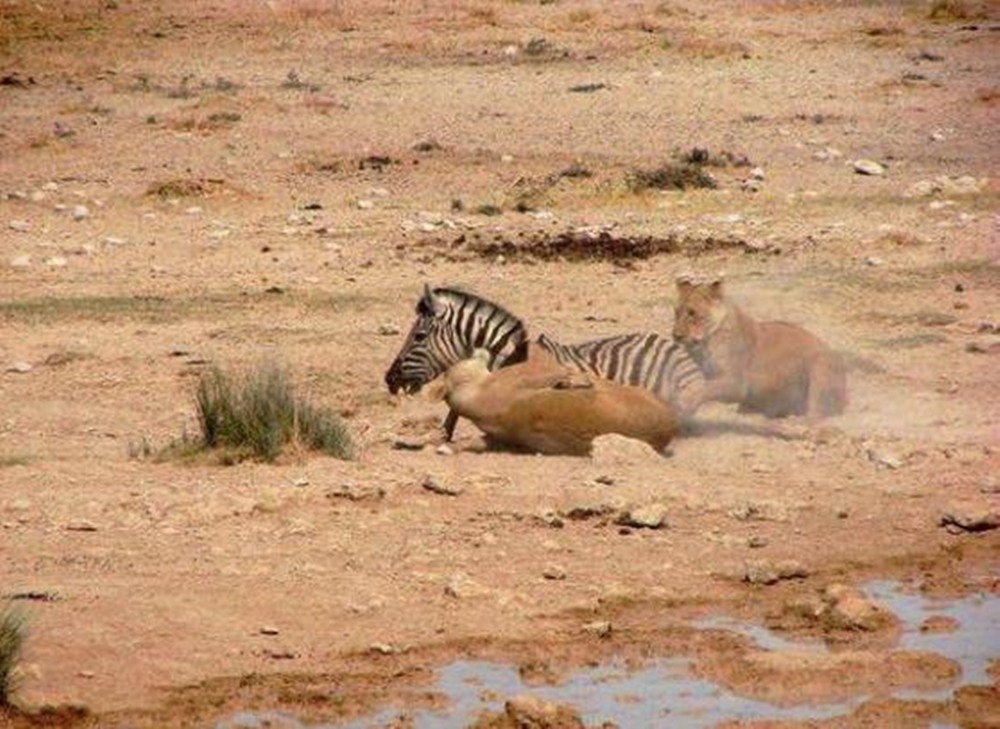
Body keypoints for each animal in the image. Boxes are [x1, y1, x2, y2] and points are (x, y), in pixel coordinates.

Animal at [672, 276, 844, 418]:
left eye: (692, 313)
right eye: (677, 312)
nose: (676, 335)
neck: (705, 344)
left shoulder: (736, 383)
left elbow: (704, 388)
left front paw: (685, 401)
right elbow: (705, 386)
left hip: (821, 366)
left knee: (816, 415)